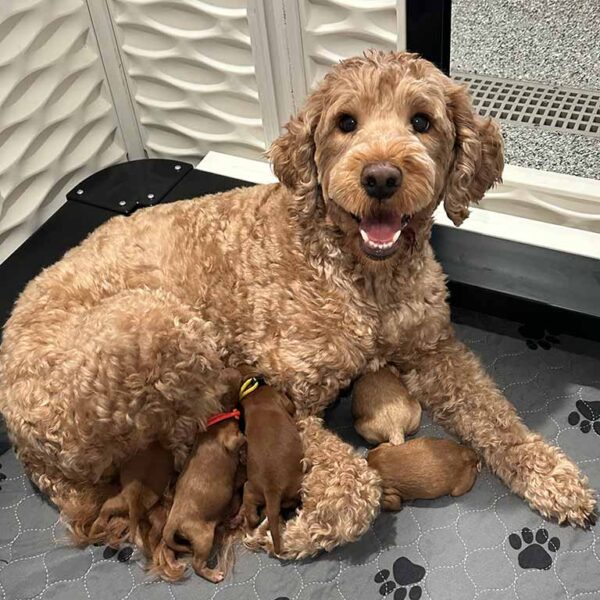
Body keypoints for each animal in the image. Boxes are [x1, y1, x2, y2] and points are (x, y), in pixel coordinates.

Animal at [163, 418, 245, 580]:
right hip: (204, 538)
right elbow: (240, 438)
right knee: (197, 564)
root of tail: (173, 521)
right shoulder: (230, 439)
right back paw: (213, 575)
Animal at [239, 378, 304, 556]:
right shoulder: (281, 399)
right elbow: (291, 406)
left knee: (253, 514)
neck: (255, 394)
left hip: (253, 490)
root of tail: (272, 489)